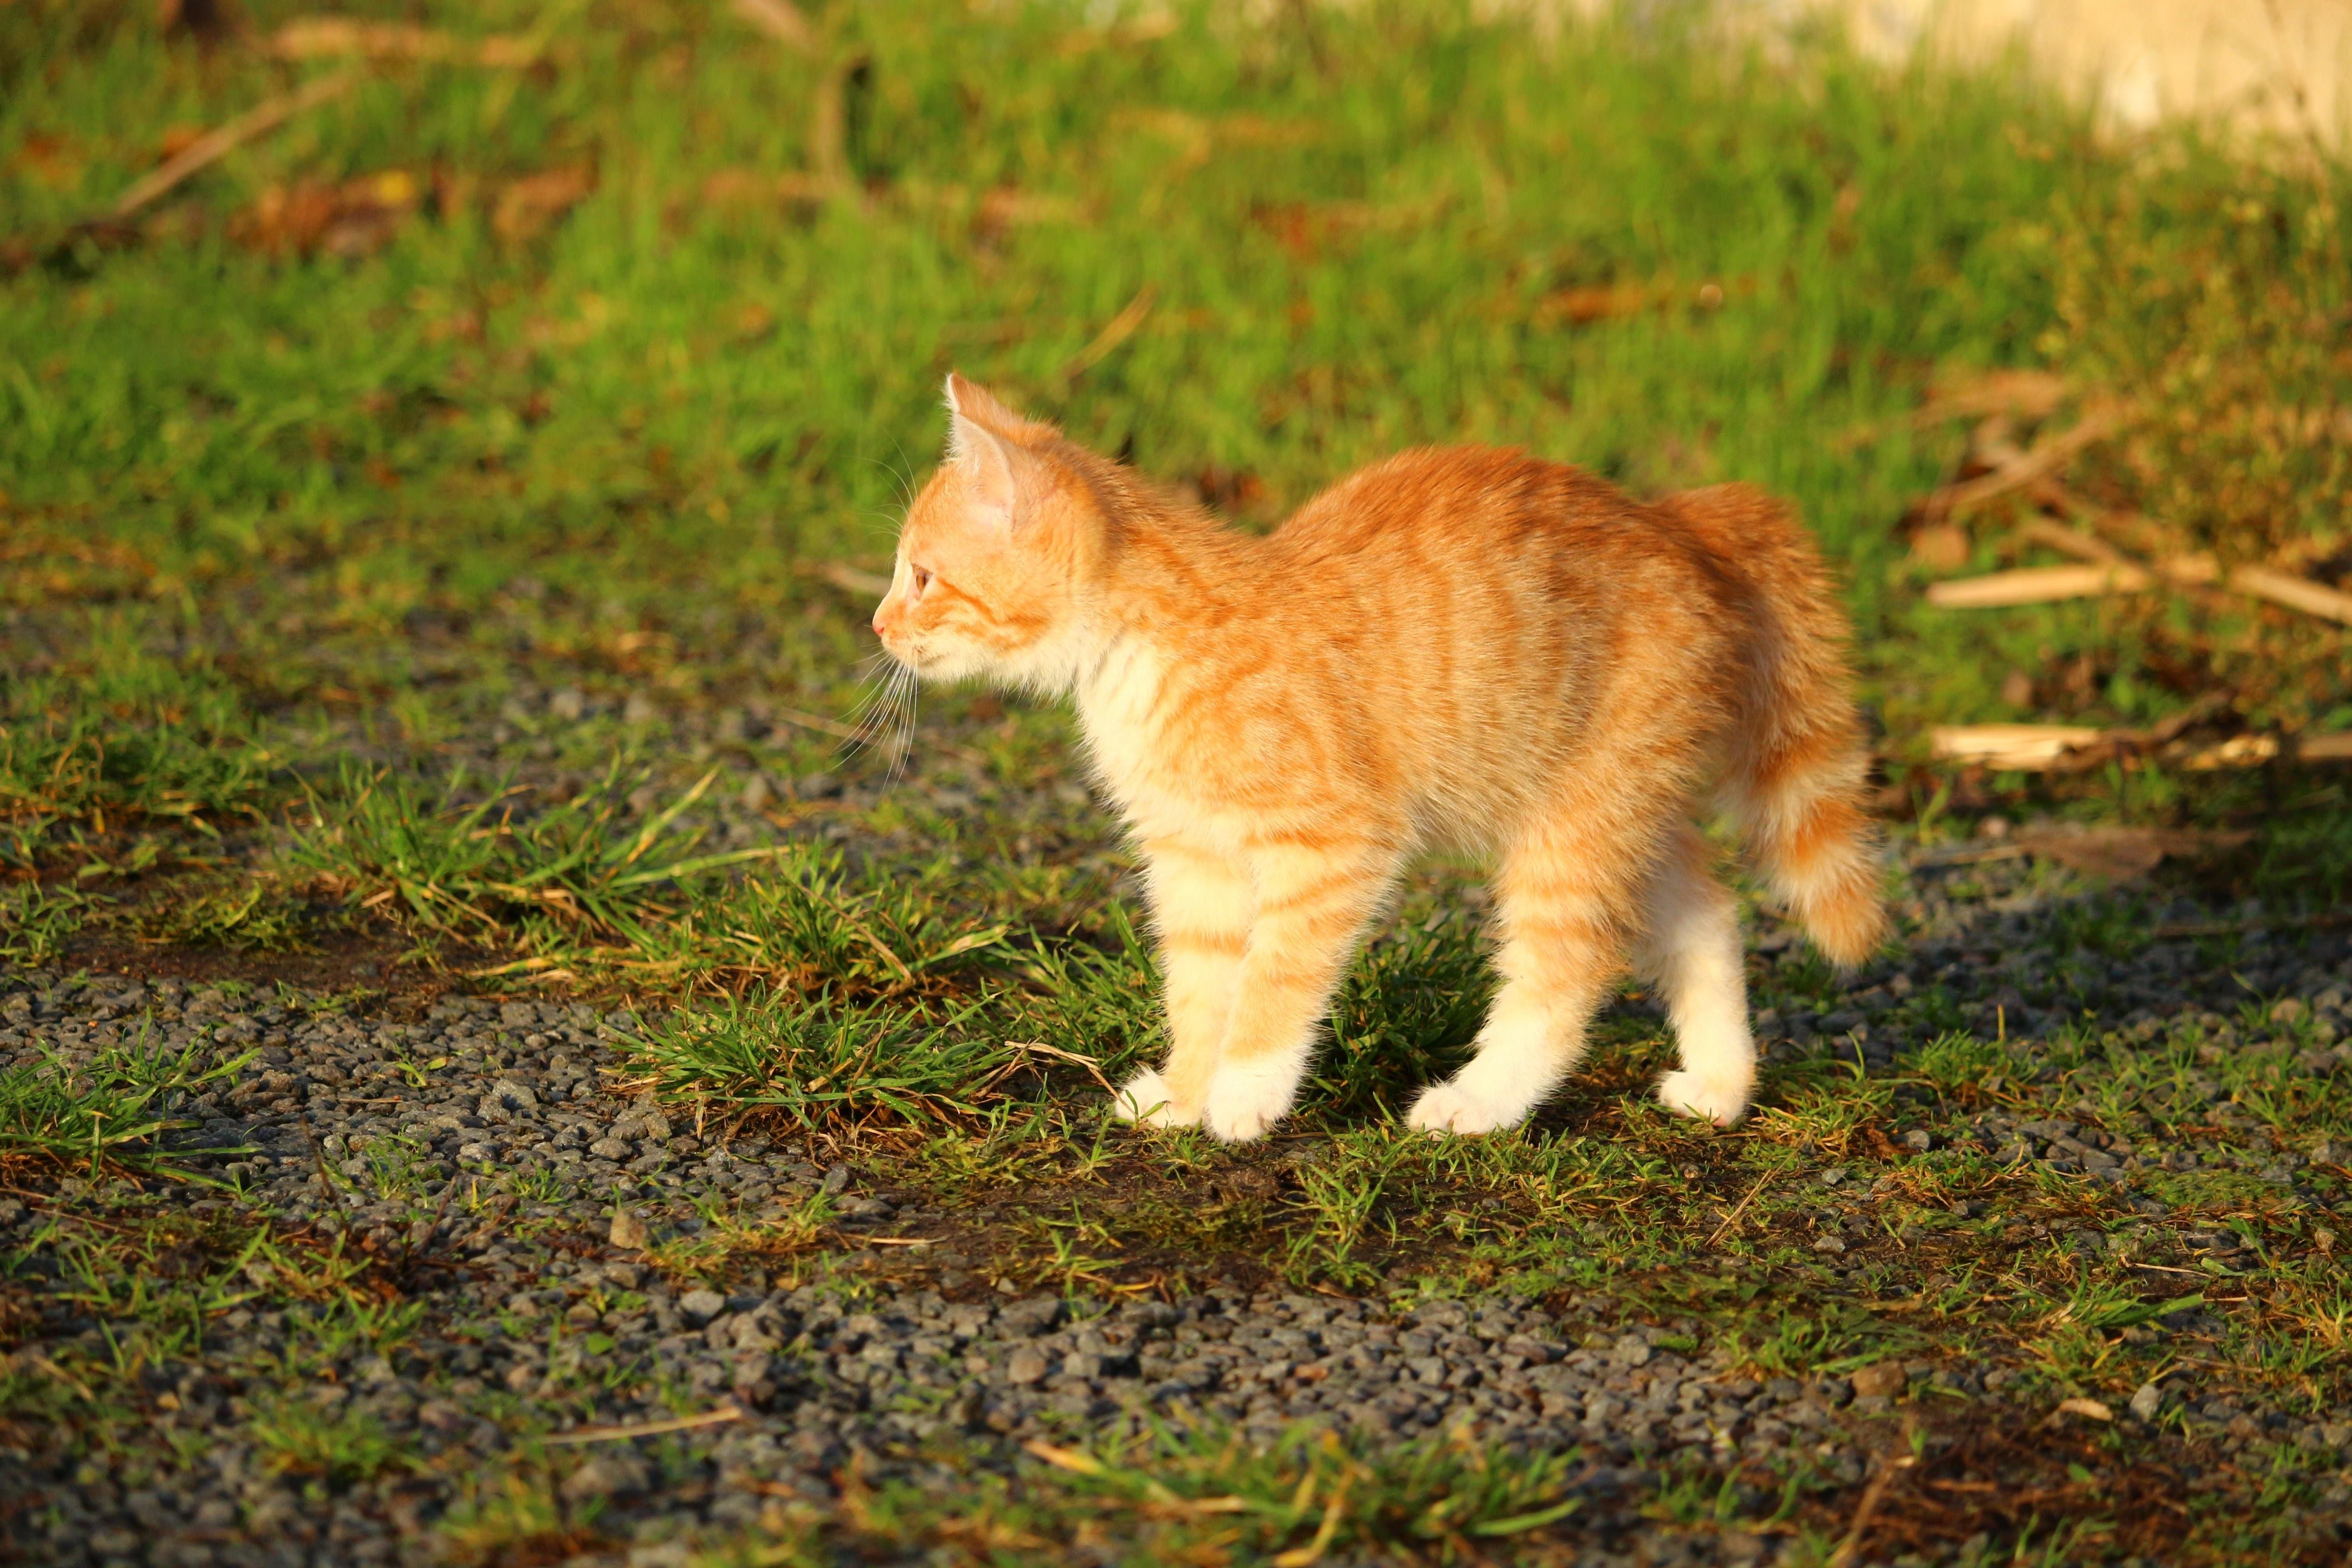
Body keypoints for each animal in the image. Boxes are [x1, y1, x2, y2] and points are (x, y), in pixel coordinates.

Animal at [875, 378, 1882, 1142]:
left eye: (921, 577)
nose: (878, 625)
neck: (1146, 646)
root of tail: (1678, 518)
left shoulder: (1333, 844)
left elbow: (1275, 979)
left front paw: (1244, 1094)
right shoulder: (1191, 857)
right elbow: (1201, 984)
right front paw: (1187, 1088)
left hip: (1577, 821)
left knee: (1565, 971)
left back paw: (1479, 1103)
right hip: (1623, 802)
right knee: (1705, 916)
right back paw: (1720, 1085)